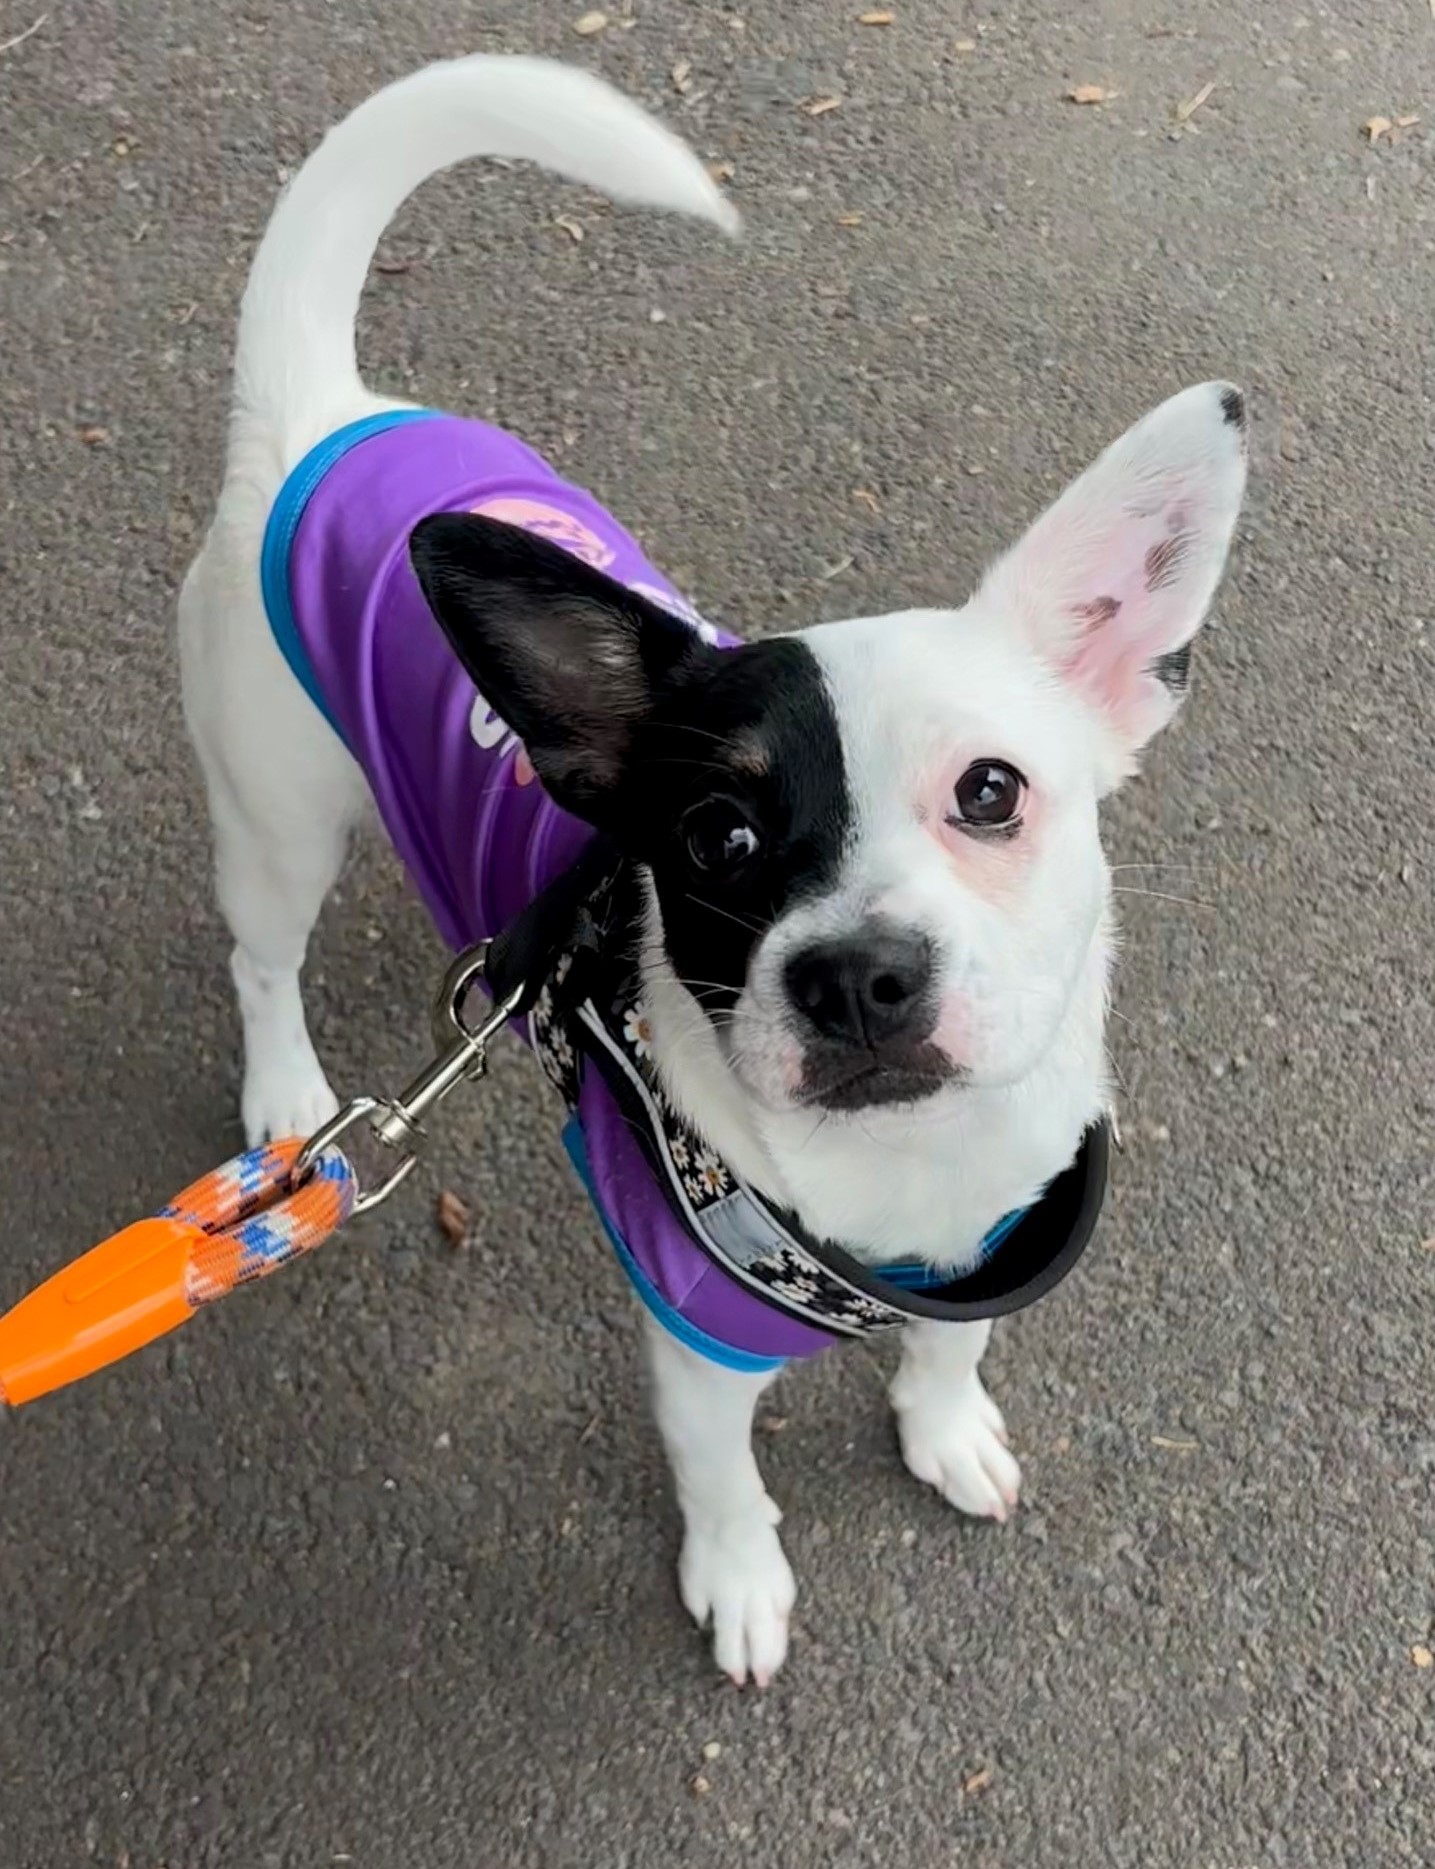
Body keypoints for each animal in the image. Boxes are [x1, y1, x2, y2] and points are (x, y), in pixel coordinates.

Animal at [179, 54, 1247, 1686]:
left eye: (989, 793)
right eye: (718, 841)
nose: (856, 977)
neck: (907, 1178)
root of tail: (321, 415)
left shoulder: (987, 1245)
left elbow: (952, 1342)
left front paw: (944, 1427)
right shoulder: (693, 1351)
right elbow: (723, 1480)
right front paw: (740, 1582)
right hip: (275, 819)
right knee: (261, 956)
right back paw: (291, 1095)